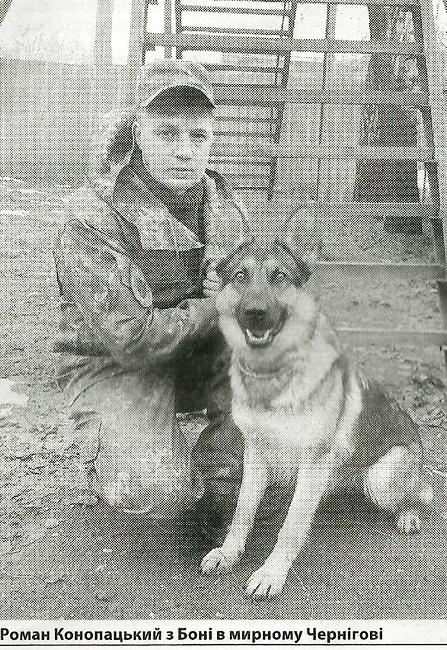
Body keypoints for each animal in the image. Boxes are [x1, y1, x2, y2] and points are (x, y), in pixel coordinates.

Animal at [200, 209, 432, 600]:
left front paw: (272, 573)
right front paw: (229, 552)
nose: (255, 313)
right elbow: (243, 510)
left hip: (381, 476)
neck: (274, 373)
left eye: (279, 277)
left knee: (418, 494)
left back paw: (409, 513)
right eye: (240, 276)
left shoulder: (313, 461)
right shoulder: (255, 453)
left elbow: (292, 525)